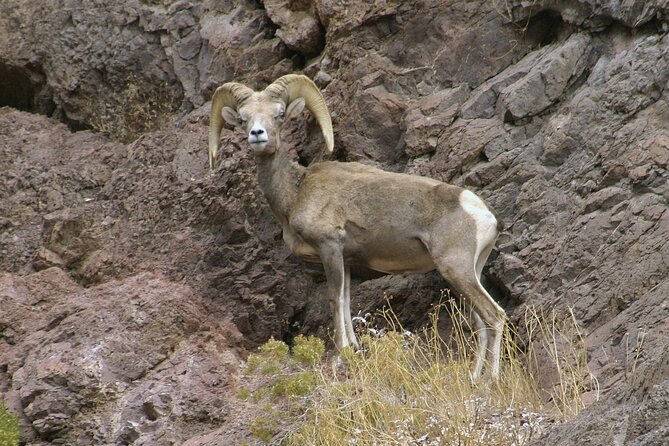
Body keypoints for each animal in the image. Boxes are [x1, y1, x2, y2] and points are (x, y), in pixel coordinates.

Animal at [209, 74, 506, 380]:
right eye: (243, 119)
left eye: (279, 115)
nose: (257, 134)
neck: (296, 191)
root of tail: (484, 215)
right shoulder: (347, 260)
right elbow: (347, 301)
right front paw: (353, 348)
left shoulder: (329, 248)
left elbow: (335, 300)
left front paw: (340, 355)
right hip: (469, 273)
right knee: (480, 323)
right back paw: (474, 378)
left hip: (456, 269)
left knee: (494, 317)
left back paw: (492, 380)